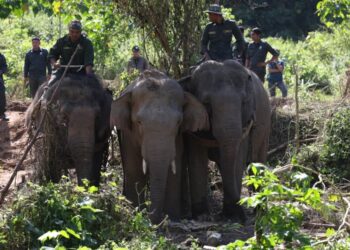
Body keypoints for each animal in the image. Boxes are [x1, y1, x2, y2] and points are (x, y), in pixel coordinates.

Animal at [110, 69, 208, 224]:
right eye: (139, 122)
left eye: (178, 122)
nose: (154, 220)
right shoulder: (128, 134)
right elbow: (134, 167)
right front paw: (135, 213)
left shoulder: (177, 137)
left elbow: (175, 169)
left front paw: (172, 218)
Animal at [182, 60, 272, 223]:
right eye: (206, 103)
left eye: (243, 102)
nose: (243, 219)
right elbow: (196, 157)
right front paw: (201, 216)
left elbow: (238, 158)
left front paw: (231, 216)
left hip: (266, 121)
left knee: (258, 160)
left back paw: (259, 210)